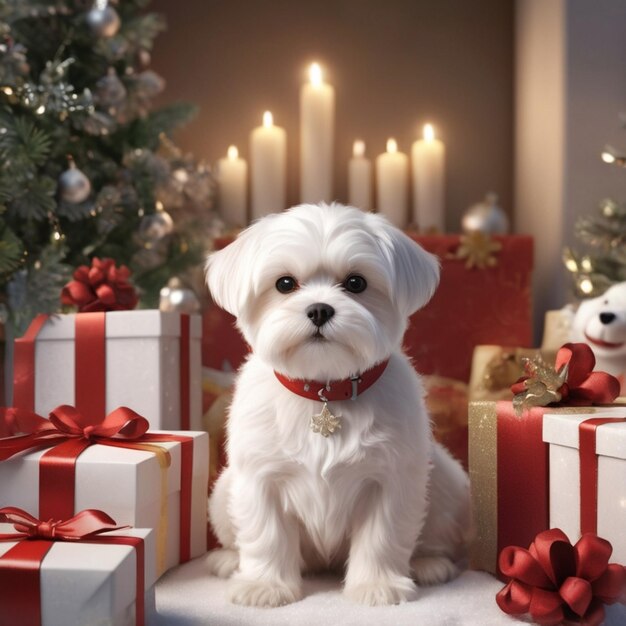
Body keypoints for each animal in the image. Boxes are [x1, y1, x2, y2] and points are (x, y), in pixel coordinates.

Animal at [205, 204, 468, 604]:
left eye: (356, 283)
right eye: (285, 284)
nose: (318, 310)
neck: (324, 391)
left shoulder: (391, 479)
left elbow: (382, 538)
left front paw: (376, 584)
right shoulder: (261, 477)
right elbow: (266, 535)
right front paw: (266, 585)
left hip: (447, 481)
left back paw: (428, 564)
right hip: (222, 492)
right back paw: (227, 559)